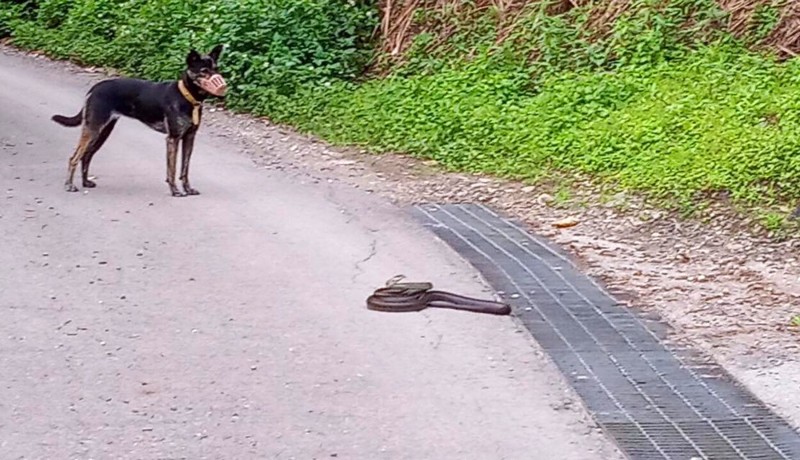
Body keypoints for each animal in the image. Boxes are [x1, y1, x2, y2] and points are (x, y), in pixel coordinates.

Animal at [52, 45, 228, 197]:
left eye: (216, 69)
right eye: (204, 71)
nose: (222, 84)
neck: (187, 96)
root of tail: (94, 89)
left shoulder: (189, 138)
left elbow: (185, 169)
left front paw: (188, 189)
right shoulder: (173, 139)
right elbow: (171, 170)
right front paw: (175, 191)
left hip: (103, 132)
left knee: (86, 155)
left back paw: (85, 182)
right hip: (92, 129)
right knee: (74, 158)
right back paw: (69, 185)